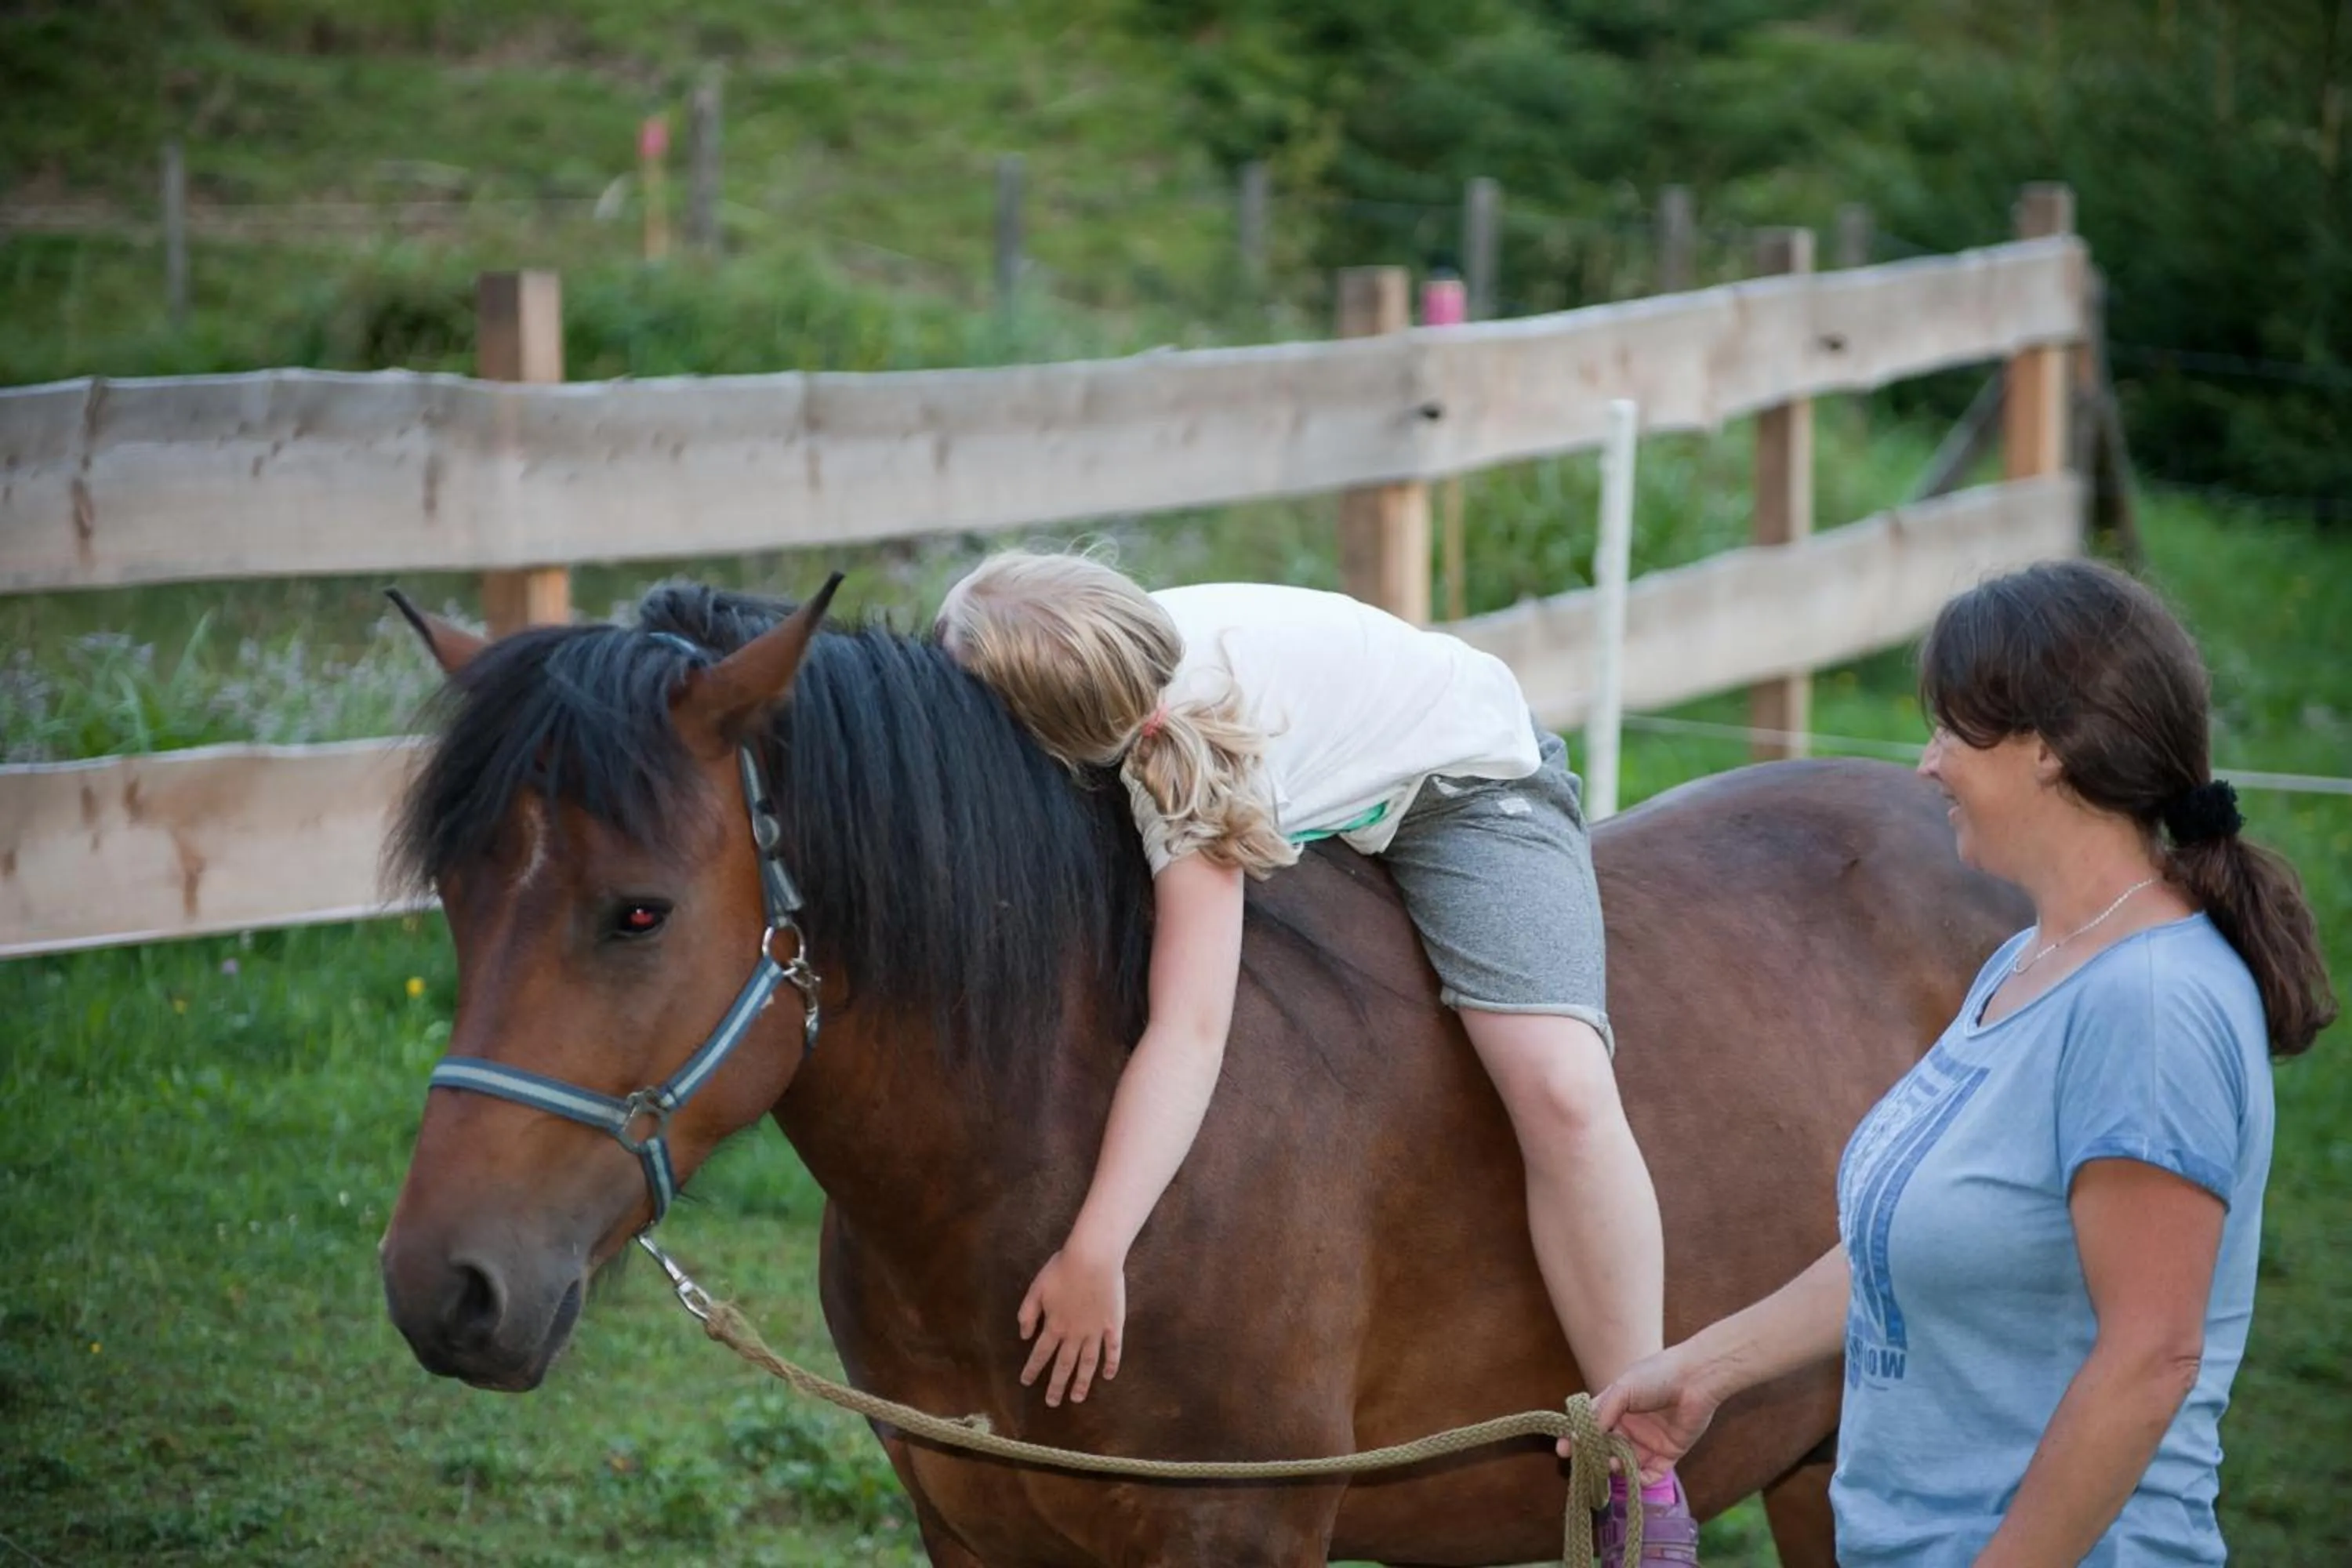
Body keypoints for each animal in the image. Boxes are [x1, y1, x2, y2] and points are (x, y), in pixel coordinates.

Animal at [378, 579, 2028, 1567]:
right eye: (456, 892)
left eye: (638, 911)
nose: (445, 1289)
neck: (1065, 1158)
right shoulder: (969, 1531)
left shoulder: (1238, 1533)